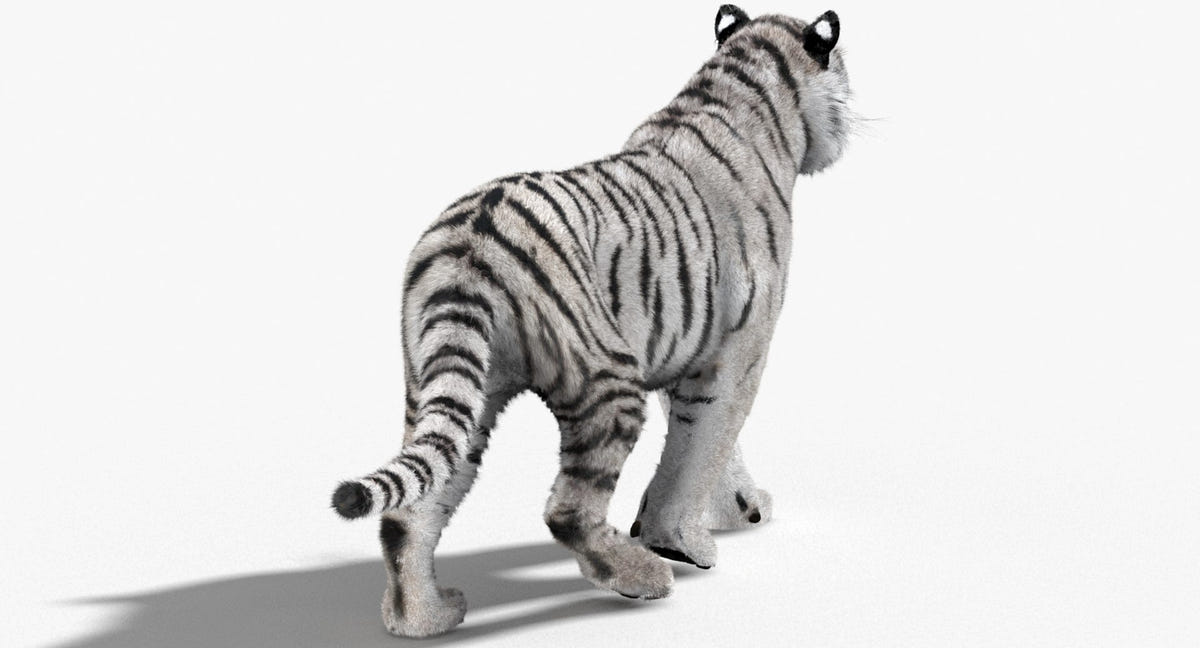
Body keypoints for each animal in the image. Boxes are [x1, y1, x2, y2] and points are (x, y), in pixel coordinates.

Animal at [331, 5, 851, 637]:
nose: (849, 117)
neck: (741, 84)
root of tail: (470, 241)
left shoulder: (682, 345)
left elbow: (706, 445)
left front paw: (736, 509)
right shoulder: (735, 354)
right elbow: (703, 446)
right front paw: (682, 544)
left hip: (454, 388)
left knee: (411, 508)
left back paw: (424, 619)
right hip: (606, 381)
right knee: (566, 509)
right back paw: (642, 576)